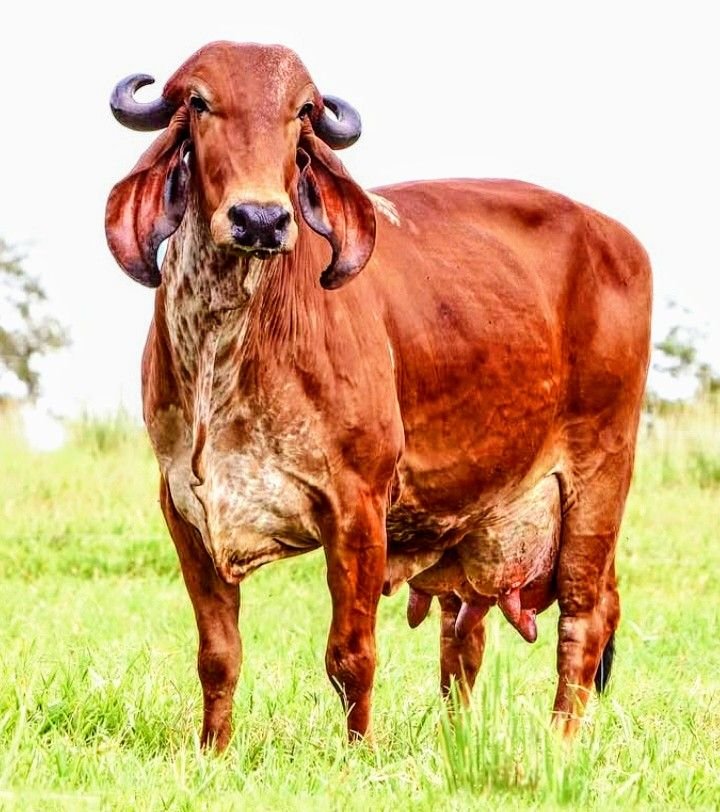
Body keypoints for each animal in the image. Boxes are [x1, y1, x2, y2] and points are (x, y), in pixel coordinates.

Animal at [105, 41, 652, 750]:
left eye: (302, 113)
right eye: (198, 102)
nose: (261, 219)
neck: (228, 339)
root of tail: (617, 238)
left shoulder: (358, 506)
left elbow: (350, 655)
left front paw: (356, 753)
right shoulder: (184, 507)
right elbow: (218, 655)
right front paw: (212, 753)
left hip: (598, 478)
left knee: (585, 619)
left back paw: (558, 743)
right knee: (463, 635)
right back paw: (456, 739)